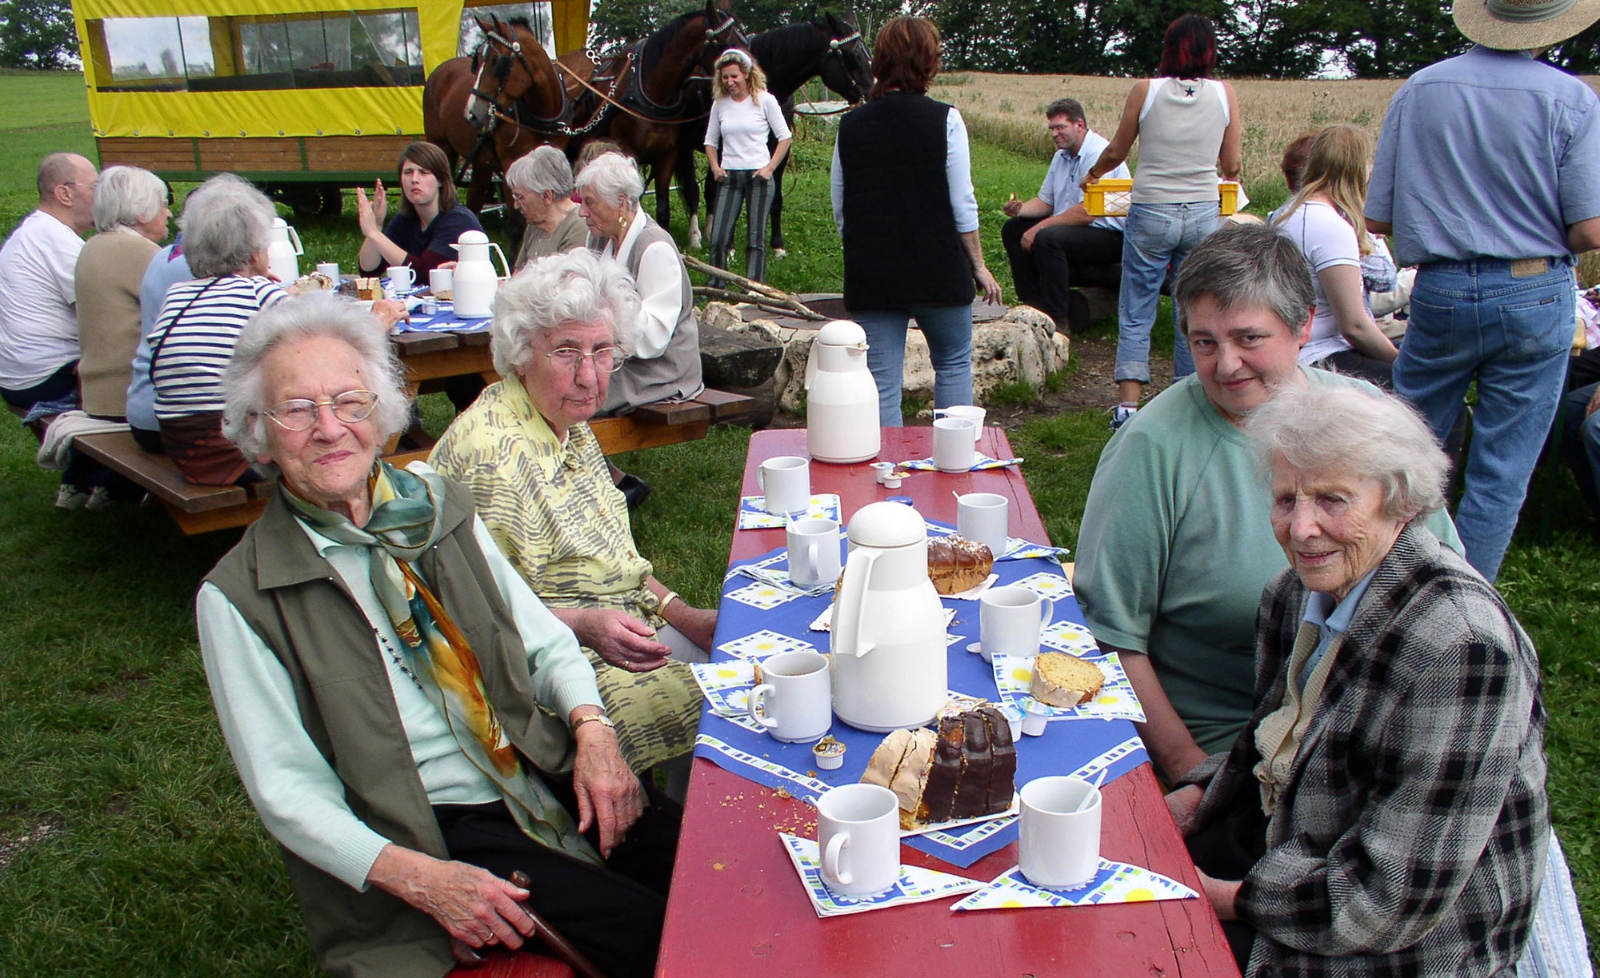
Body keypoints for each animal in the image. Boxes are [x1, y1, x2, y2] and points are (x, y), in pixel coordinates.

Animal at [422, 13, 572, 212]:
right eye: (477, 62)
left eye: (496, 61)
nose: (471, 113)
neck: (541, 115)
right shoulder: (510, 165)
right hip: (441, 146)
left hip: (481, 163)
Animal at [560, 0, 745, 232]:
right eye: (728, 44)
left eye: (744, 37)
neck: (653, 92)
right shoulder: (629, 152)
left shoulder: (667, 155)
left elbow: (663, 210)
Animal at [678, 11, 876, 256]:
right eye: (854, 56)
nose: (872, 92)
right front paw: (730, 247)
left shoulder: (779, 151)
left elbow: (776, 198)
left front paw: (777, 245)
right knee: (692, 189)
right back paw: (695, 236)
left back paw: (709, 232)